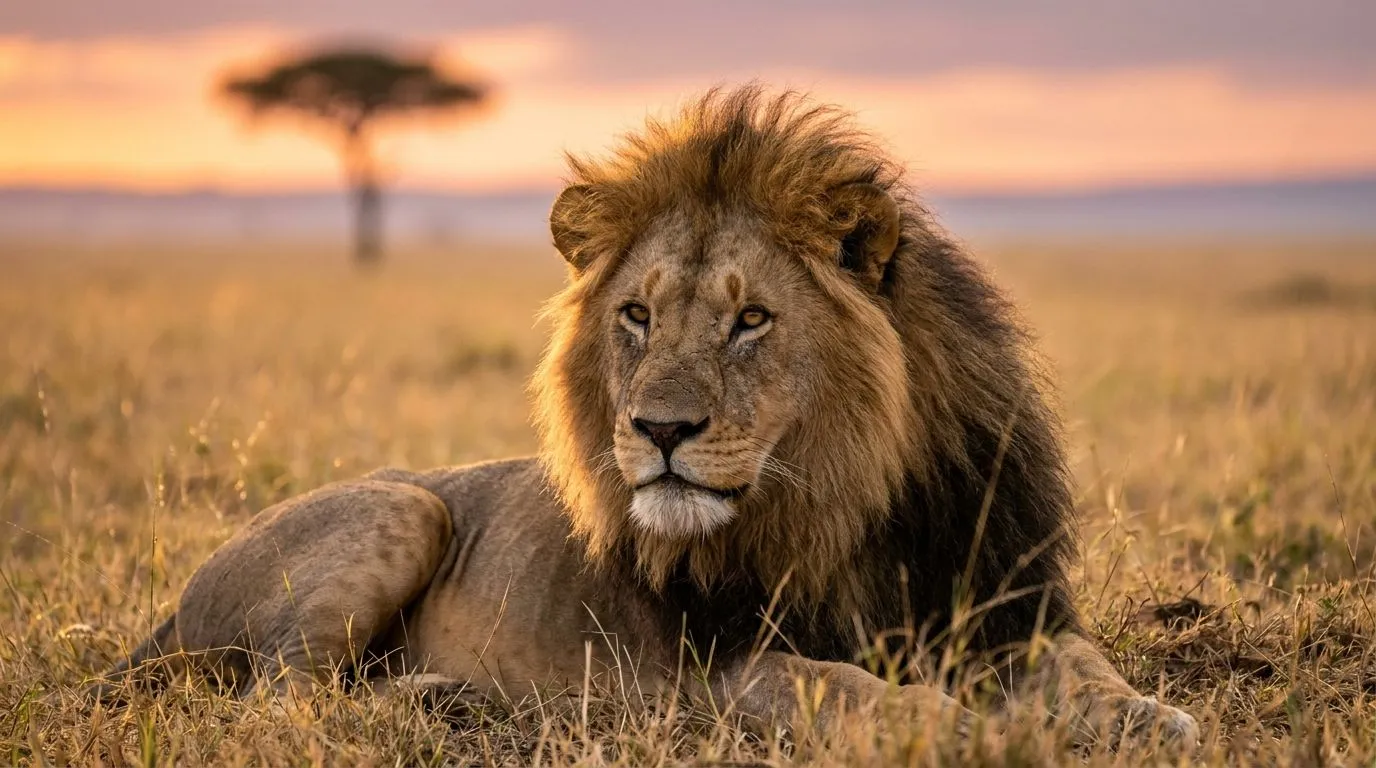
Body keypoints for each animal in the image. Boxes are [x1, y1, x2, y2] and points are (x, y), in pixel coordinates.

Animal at [94, 87, 1198, 753]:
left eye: (750, 320)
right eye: (636, 316)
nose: (659, 430)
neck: (847, 506)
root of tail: (162, 620)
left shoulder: (1003, 606)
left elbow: (1085, 667)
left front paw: (1150, 718)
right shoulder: (717, 672)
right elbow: (846, 689)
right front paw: (966, 728)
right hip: (402, 512)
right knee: (280, 701)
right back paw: (437, 701)